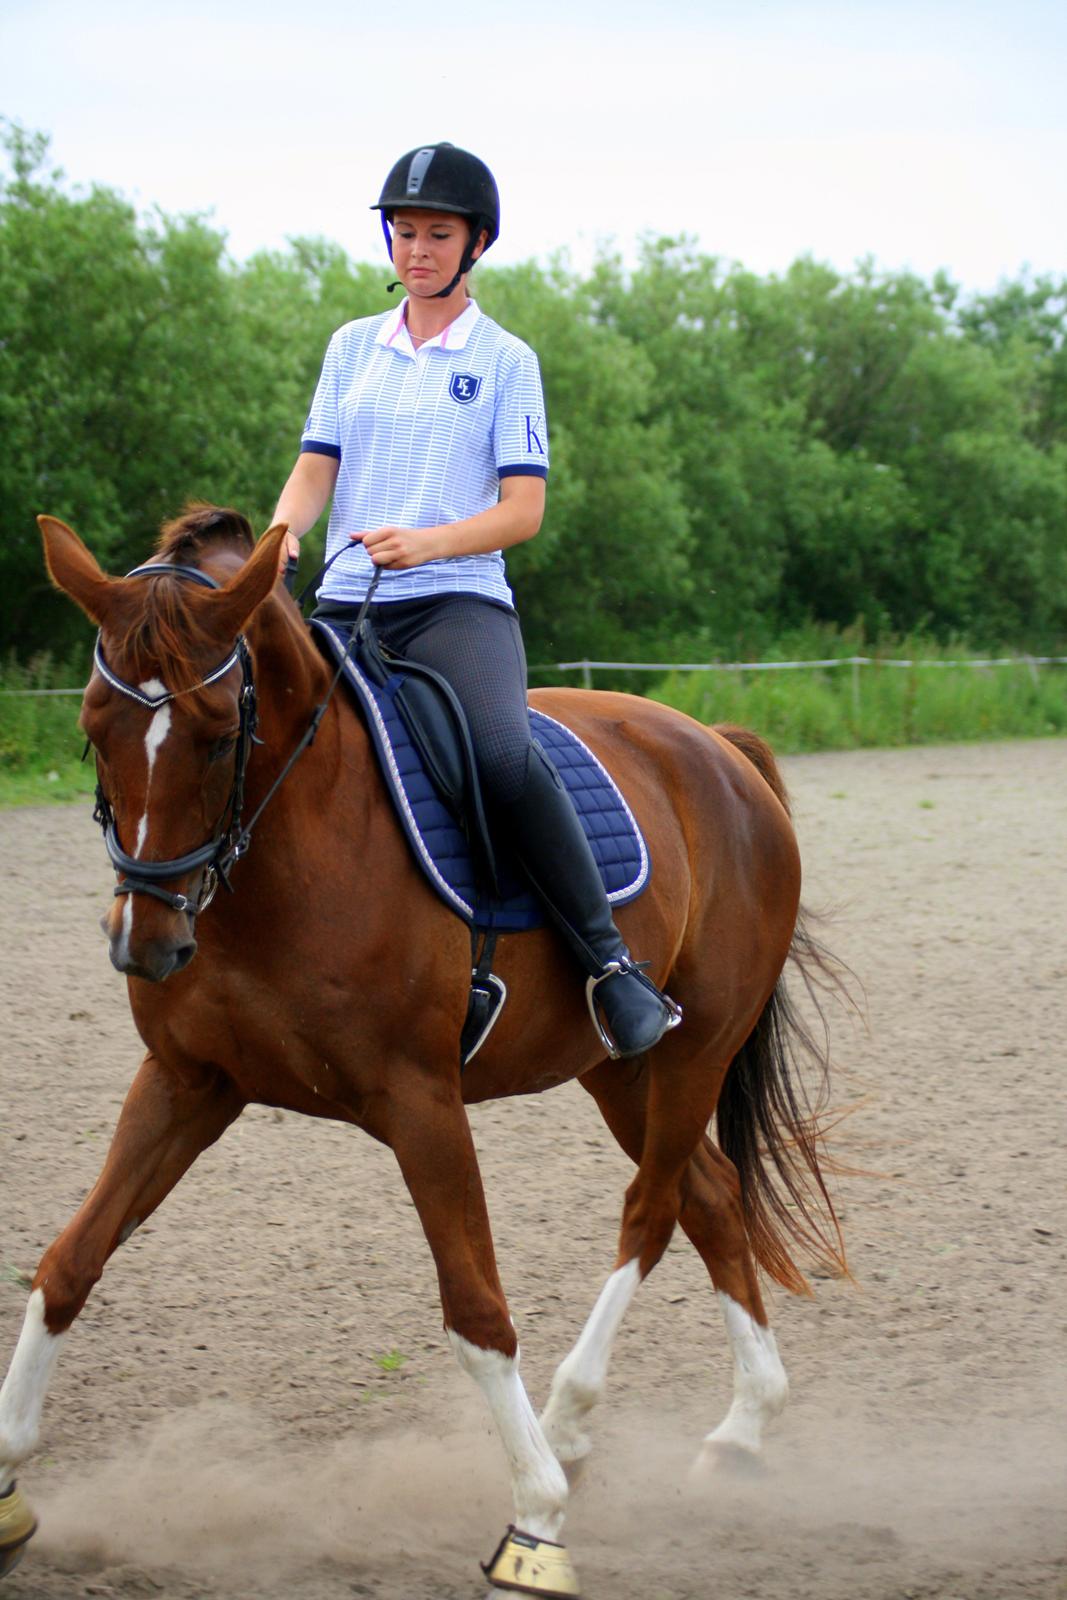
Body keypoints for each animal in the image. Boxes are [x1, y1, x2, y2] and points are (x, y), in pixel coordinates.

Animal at [2, 508, 851, 1587]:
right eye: (92, 730)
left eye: (217, 732)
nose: (143, 944)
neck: (291, 850)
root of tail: (720, 752)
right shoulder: (188, 1083)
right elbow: (69, 1261)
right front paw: (7, 1490)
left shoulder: (421, 1102)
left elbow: (477, 1314)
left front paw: (535, 1524)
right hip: (619, 1070)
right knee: (708, 1195)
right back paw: (736, 1431)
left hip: (693, 1049)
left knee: (652, 1209)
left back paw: (574, 1421)